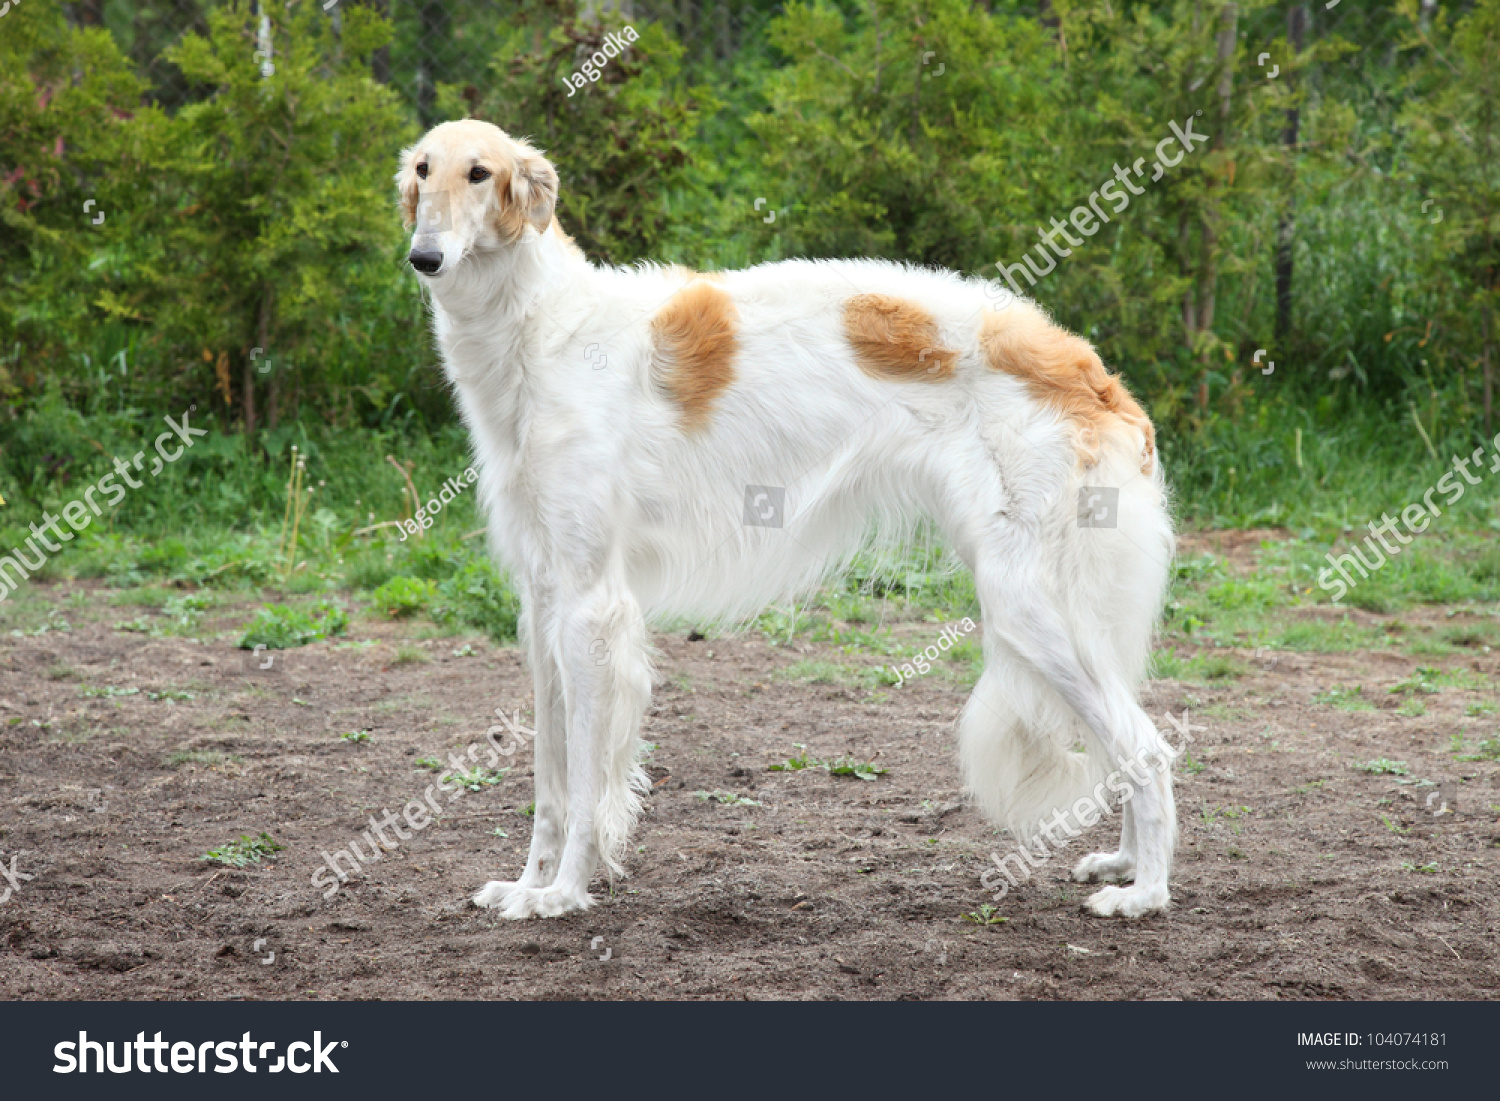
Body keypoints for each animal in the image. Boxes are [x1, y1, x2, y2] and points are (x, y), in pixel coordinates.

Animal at [405, 118, 1176, 924]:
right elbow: (549, 782)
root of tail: (1094, 374)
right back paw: (1124, 861)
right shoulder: (543, 597)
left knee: (1149, 747)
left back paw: (1146, 892)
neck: (543, 332)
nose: (424, 256)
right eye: (422, 170)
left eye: (481, 173)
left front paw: (562, 892)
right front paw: (527, 884)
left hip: (1027, 602)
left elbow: (584, 784)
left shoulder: (591, 606)